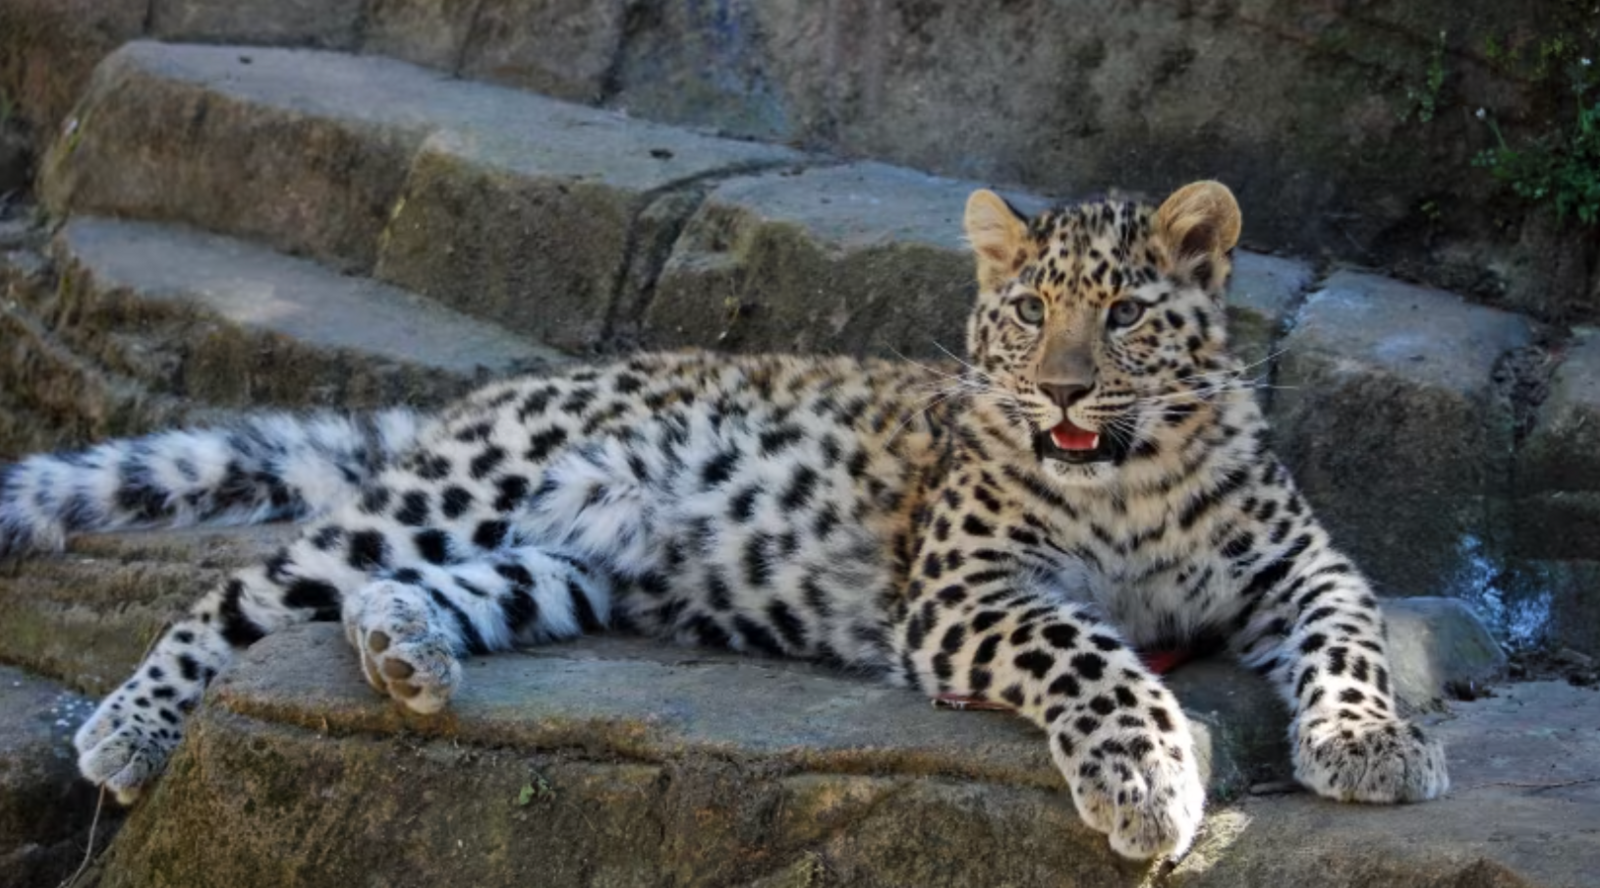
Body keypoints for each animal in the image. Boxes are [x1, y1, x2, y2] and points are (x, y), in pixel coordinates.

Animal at [0, 182, 1452, 864]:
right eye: (1032, 311)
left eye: (1129, 314)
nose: (1060, 390)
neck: (1130, 481)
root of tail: (508, 387)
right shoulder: (967, 592)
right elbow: (1095, 657)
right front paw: (1149, 782)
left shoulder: (1303, 564)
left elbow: (1355, 635)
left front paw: (1371, 744)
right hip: (455, 491)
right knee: (243, 592)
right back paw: (130, 729)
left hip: (570, 567)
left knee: (423, 593)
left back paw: (409, 654)